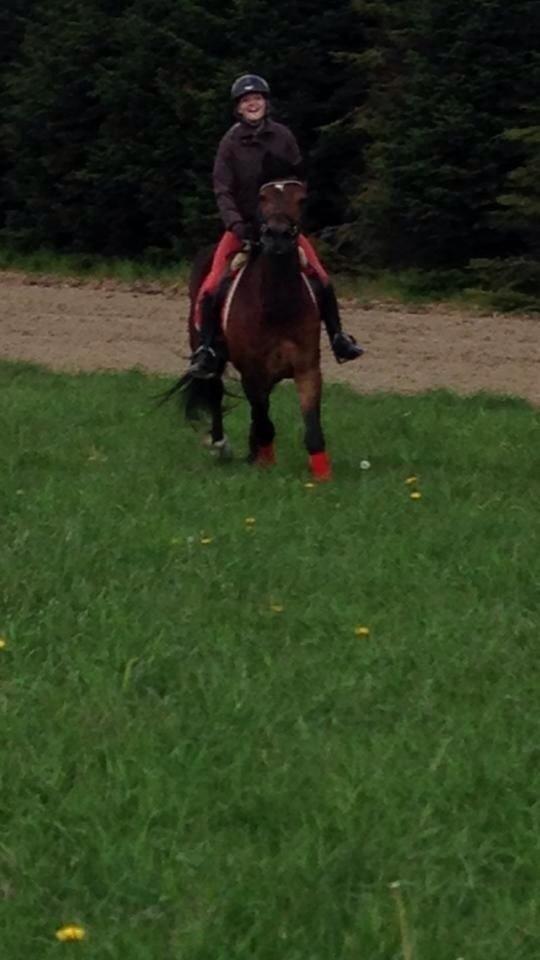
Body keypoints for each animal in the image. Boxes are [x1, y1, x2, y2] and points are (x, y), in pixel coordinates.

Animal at [172, 180, 330, 480]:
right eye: (262, 198)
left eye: (301, 199)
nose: (278, 235)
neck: (277, 302)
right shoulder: (252, 372)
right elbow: (263, 419)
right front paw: (264, 461)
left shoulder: (306, 368)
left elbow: (311, 424)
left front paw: (322, 476)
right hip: (206, 350)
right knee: (216, 391)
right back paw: (221, 446)